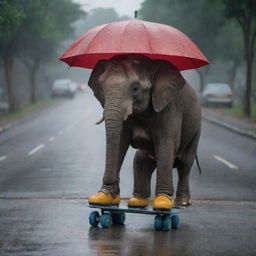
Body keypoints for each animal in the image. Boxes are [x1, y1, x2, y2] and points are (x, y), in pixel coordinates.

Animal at [88, 54, 202, 210]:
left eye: (135, 88)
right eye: (101, 87)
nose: (109, 181)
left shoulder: (170, 108)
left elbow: (165, 145)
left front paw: (163, 203)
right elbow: (120, 143)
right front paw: (102, 198)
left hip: (196, 128)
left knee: (185, 163)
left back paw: (183, 202)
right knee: (140, 161)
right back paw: (137, 201)